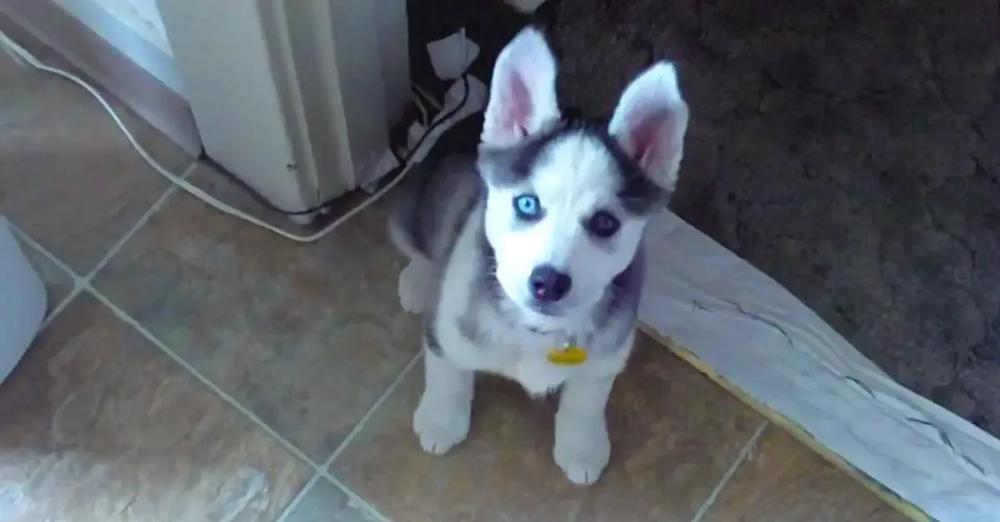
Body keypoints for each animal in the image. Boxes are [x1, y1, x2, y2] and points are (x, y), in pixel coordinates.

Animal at [390, 26, 688, 482]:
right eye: (527, 204)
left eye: (605, 223)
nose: (548, 282)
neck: (537, 332)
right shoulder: (447, 327)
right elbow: (447, 372)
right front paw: (442, 419)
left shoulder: (608, 352)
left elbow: (587, 398)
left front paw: (582, 445)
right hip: (415, 208)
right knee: (418, 246)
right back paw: (416, 280)